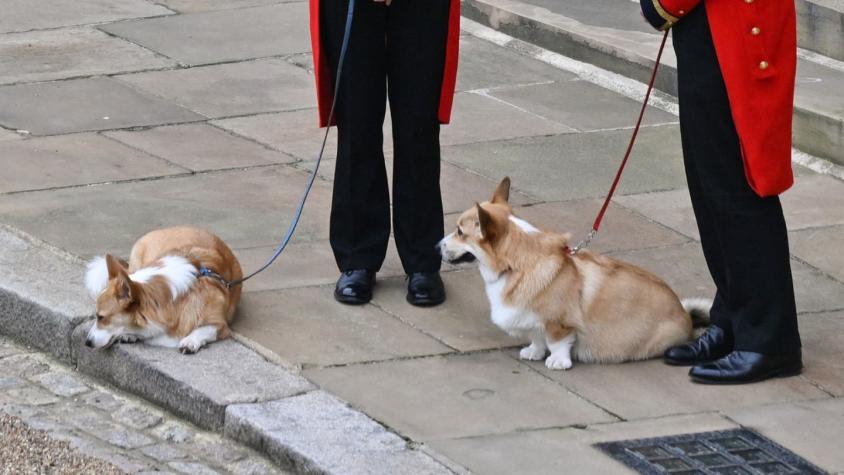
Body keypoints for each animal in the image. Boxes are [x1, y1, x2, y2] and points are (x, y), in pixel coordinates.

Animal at [84, 226, 242, 354]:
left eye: (101, 317)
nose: (87, 343)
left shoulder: (220, 325)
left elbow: (203, 329)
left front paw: (190, 341)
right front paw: (130, 334)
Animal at [438, 178, 708, 372]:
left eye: (460, 232)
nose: (436, 246)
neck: (518, 263)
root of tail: (686, 315)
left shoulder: (559, 323)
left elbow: (557, 342)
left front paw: (557, 362)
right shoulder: (531, 320)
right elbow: (536, 337)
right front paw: (534, 352)